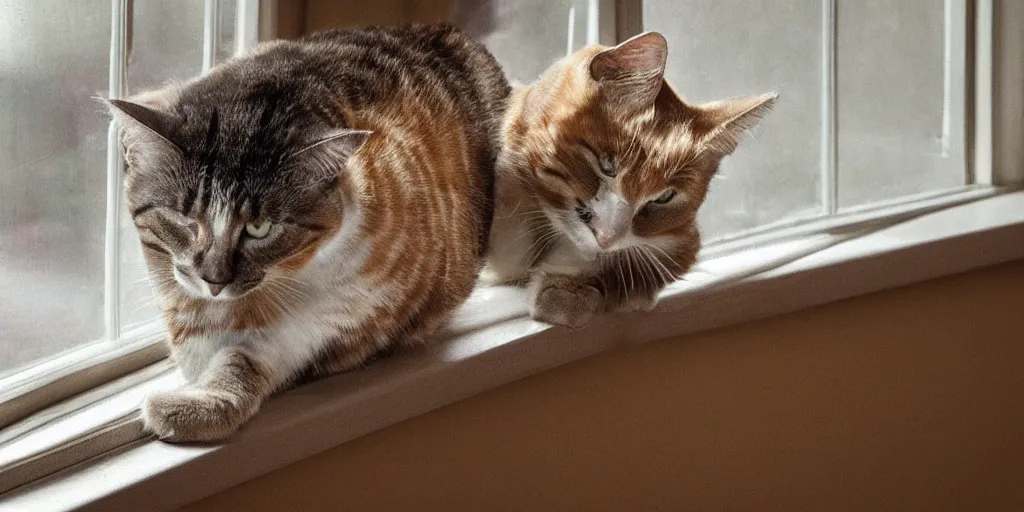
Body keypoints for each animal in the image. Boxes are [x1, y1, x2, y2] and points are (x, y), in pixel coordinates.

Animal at [108, 23, 507, 440]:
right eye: (184, 219)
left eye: (259, 228)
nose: (213, 280)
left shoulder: (357, 309)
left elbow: (261, 353)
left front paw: (196, 407)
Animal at [487, 32, 774, 327]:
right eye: (607, 165)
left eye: (664, 197)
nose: (607, 238)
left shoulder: (683, 240)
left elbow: (637, 265)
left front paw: (570, 291)